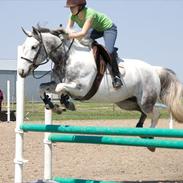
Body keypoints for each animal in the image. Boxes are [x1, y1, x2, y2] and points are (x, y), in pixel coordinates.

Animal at [17, 26, 183, 131]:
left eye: (33, 47)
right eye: (23, 46)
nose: (21, 71)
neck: (66, 58)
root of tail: (154, 70)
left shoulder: (81, 88)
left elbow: (60, 88)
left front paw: (66, 103)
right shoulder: (57, 82)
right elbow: (43, 87)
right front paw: (54, 106)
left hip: (145, 100)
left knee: (155, 114)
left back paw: (149, 138)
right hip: (127, 102)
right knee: (145, 113)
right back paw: (139, 127)